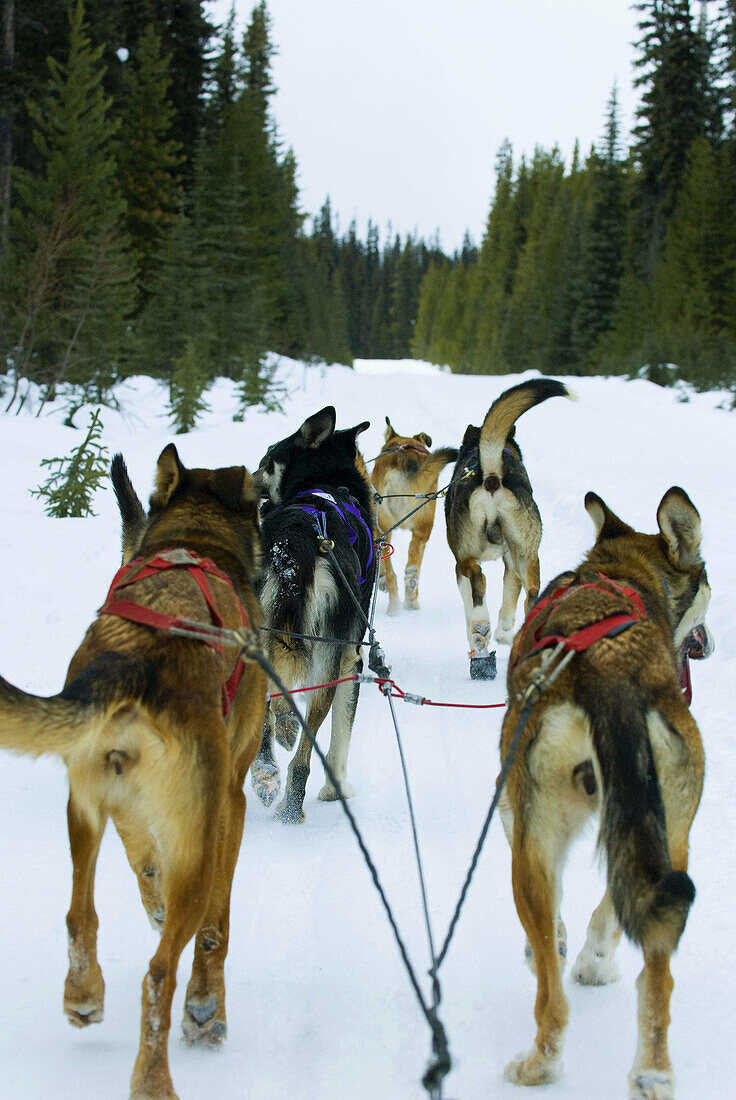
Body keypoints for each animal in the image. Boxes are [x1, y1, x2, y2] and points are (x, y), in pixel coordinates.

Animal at [0, 442, 267, 1100]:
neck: (195, 538)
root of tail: (138, 664)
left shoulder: (124, 811)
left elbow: (144, 863)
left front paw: (152, 898)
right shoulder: (230, 801)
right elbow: (217, 929)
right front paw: (207, 1009)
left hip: (82, 809)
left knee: (80, 915)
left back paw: (84, 994)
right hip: (197, 840)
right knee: (157, 975)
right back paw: (155, 1077)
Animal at [249, 409, 376, 822]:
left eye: (266, 460)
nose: (248, 477)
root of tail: (293, 545)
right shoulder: (351, 658)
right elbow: (341, 734)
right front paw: (336, 788)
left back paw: (266, 775)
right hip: (327, 662)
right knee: (304, 757)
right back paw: (291, 806)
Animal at [369, 415, 455, 616]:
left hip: (388, 528)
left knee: (393, 573)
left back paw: (395, 606)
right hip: (423, 528)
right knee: (412, 568)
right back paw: (410, 600)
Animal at [442, 382, 567, 682]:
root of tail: (492, 476)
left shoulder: (459, 566)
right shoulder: (511, 562)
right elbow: (510, 597)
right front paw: (504, 632)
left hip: (468, 558)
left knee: (479, 581)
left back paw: (482, 627)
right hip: (527, 555)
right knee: (531, 595)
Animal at [499, 488, 712, 1100]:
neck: (623, 572)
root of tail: (611, 674)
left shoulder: (513, 812)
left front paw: (566, 951)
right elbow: (614, 908)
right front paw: (594, 956)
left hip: (531, 848)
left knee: (552, 1002)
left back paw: (539, 1064)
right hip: (669, 832)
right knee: (657, 973)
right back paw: (652, 1071)